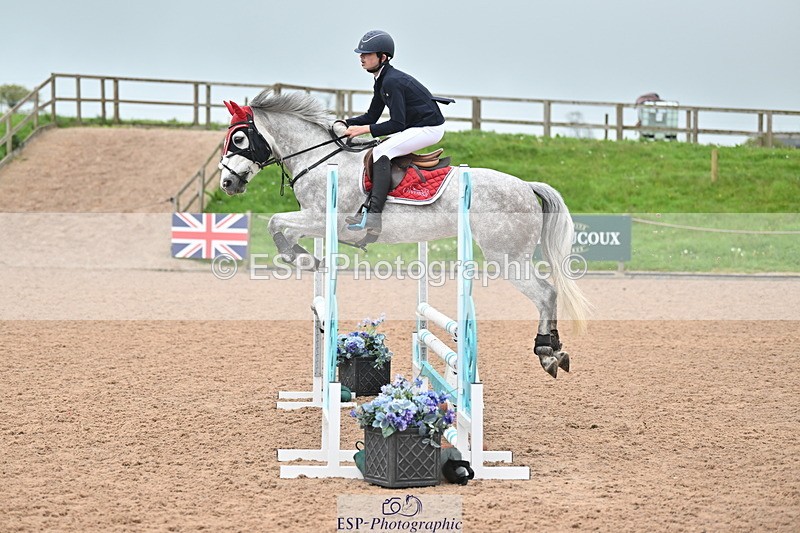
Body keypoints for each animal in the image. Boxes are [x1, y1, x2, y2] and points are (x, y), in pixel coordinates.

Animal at [218, 90, 590, 378]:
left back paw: (546, 352)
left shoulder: (323, 219)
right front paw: (306, 258)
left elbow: (275, 223)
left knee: (546, 293)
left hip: (507, 257)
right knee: (548, 293)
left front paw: (303, 259)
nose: (227, 184)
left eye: (239, 139)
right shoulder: (313, 220)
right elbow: (281, 228)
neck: (319, 160)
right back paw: (556, 350)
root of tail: (526, 186)